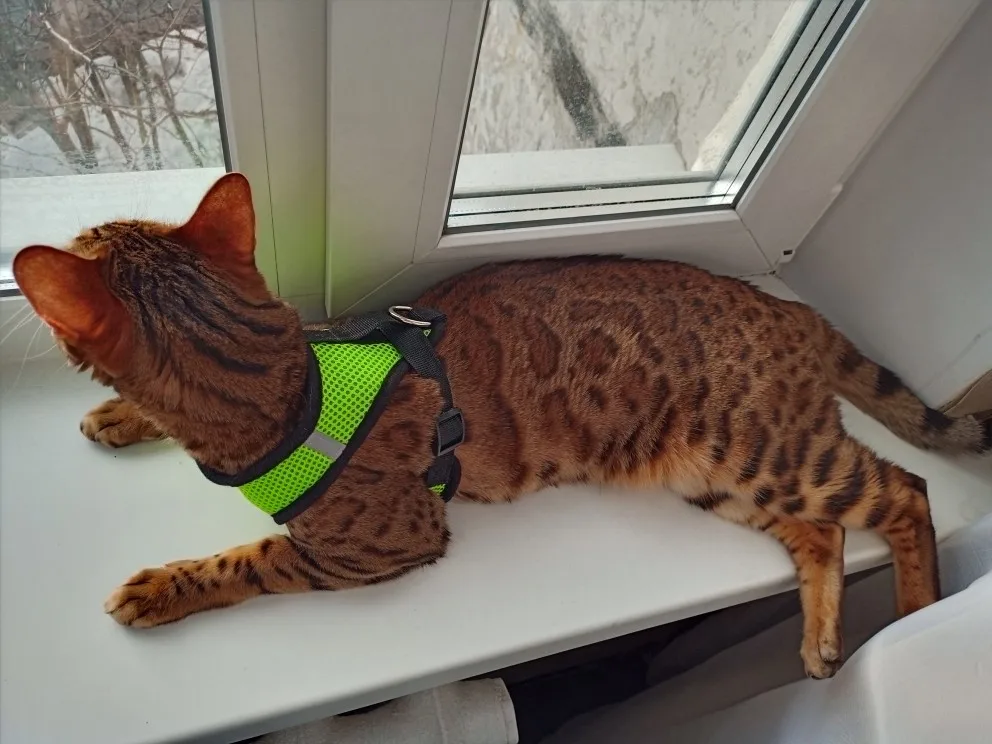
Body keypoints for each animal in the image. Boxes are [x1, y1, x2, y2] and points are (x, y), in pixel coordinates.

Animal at [13, 173, 991, 680]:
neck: (290, 384)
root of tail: (791, 310)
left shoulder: (376, 545)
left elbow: (245, 563)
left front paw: (160, 588)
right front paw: (116, 413)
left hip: (766, 451)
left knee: (904, 492)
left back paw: (913, 617)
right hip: (717, 476)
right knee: (822, 533)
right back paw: (823, 640)